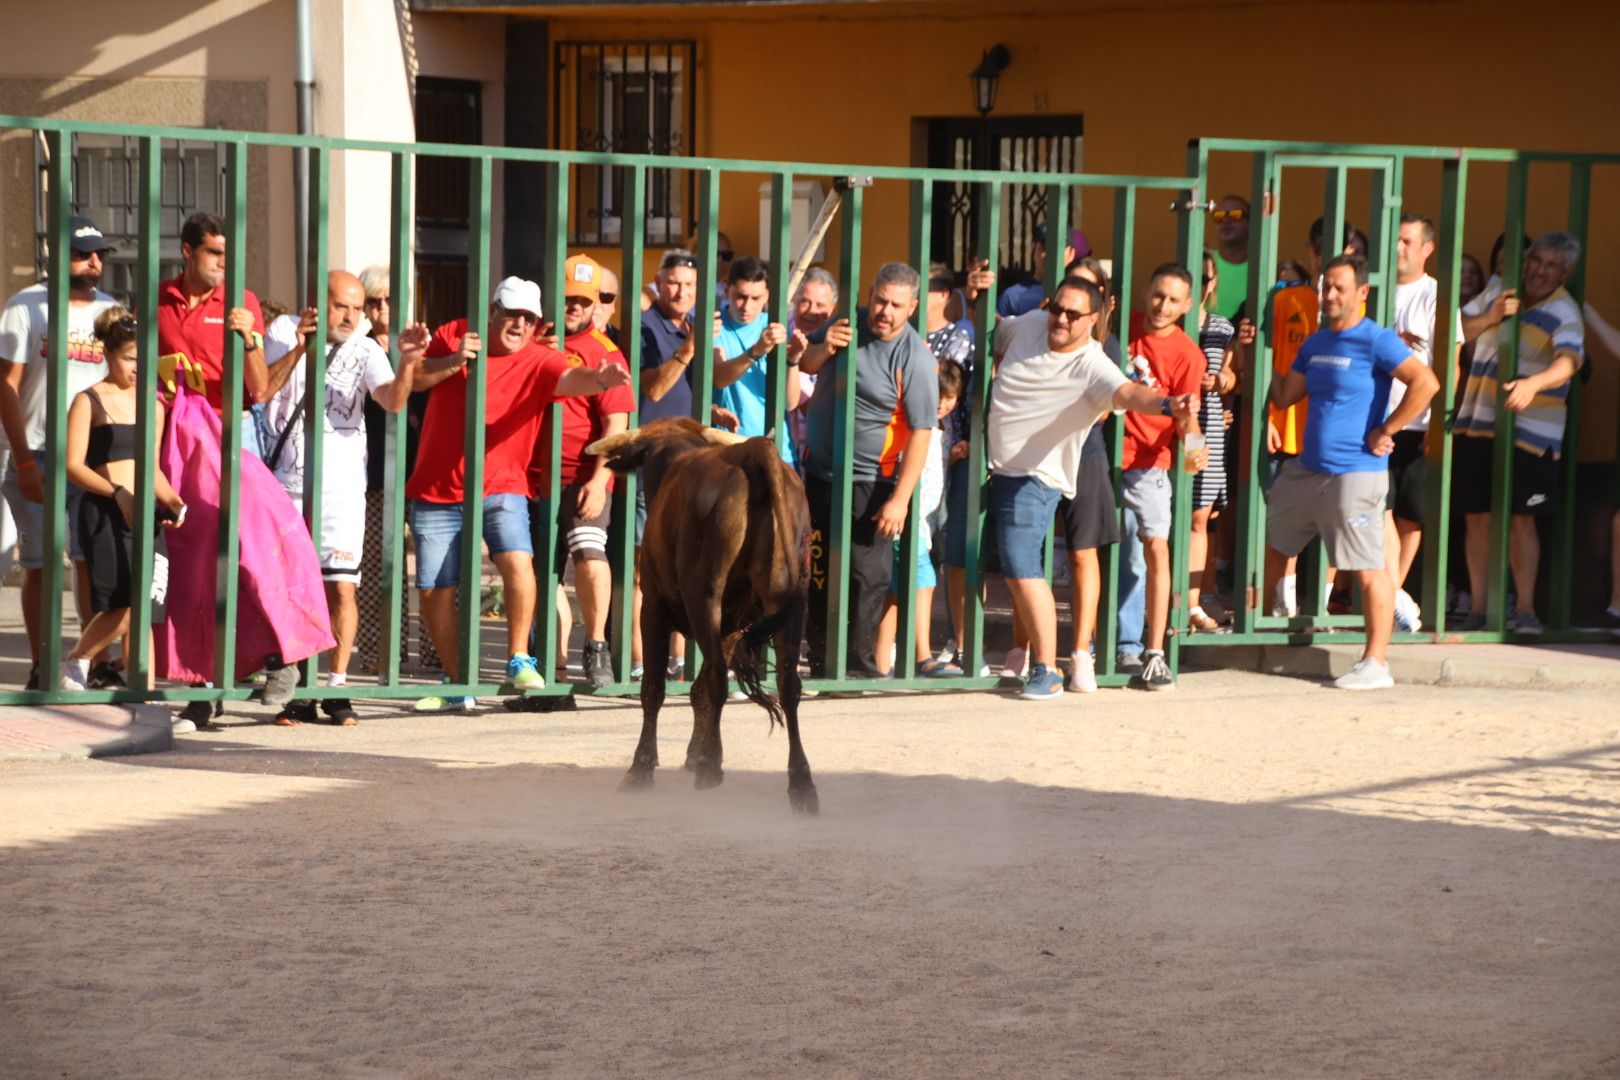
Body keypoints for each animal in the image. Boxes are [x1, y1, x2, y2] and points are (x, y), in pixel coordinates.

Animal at [586, 417, 822, 816]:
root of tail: (752, 453)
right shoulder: (732, 625)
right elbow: (697, 693)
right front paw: (693, 753)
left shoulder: (653, 608)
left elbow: (655, 689)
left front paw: (642, 768)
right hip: (790, 601)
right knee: (788, 686)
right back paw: (801, 785)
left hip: (705, 596)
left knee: (716, 678)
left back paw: (712, 767)